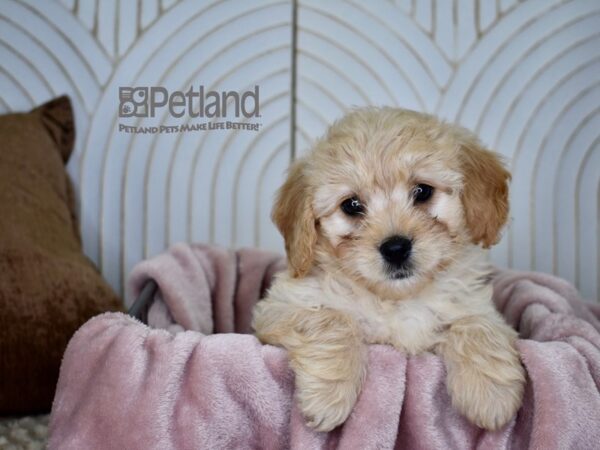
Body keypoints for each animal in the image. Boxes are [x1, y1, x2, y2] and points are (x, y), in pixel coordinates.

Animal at [253, 106, 524, 432]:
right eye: (351, 205)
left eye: (423, 191)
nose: (395, 248)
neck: (396, 299)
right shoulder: (282, 306)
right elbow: (333, 319)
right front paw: (329, 394)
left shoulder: (477, 306)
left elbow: (477, 325)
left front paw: (490, 393)